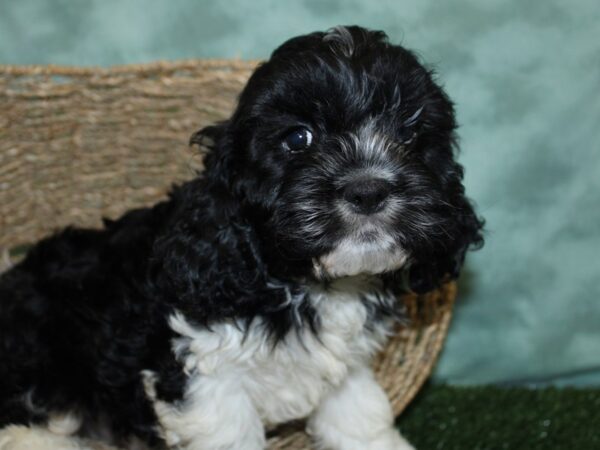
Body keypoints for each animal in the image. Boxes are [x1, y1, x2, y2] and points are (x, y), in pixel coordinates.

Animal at [0, 25, 482, 450]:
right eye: (298, 138)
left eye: (409, 134)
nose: (369, 190)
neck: (299, 282)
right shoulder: (203, 377)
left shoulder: (347, 372)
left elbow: (360, 416)